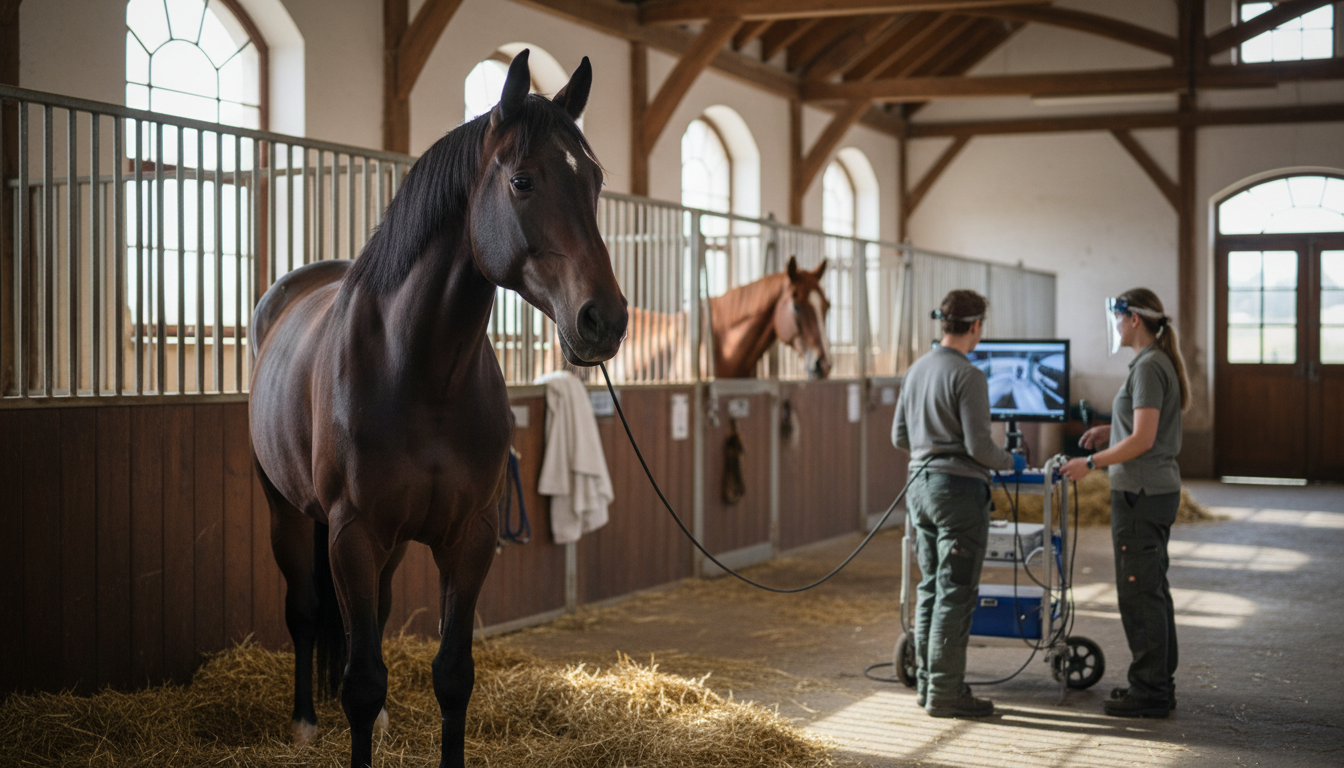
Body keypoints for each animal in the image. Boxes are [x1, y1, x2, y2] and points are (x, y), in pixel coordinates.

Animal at [248, 51, 626, 768]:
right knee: (305, 611)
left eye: (594, 180)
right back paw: (304, 720)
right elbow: (360, 681)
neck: (420, 372)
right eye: (522, 181)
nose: (606, 319)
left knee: (371, 614)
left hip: (390, 545)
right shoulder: (352, 533)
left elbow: (452, 676)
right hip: (287, 513)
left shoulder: (469, 536)